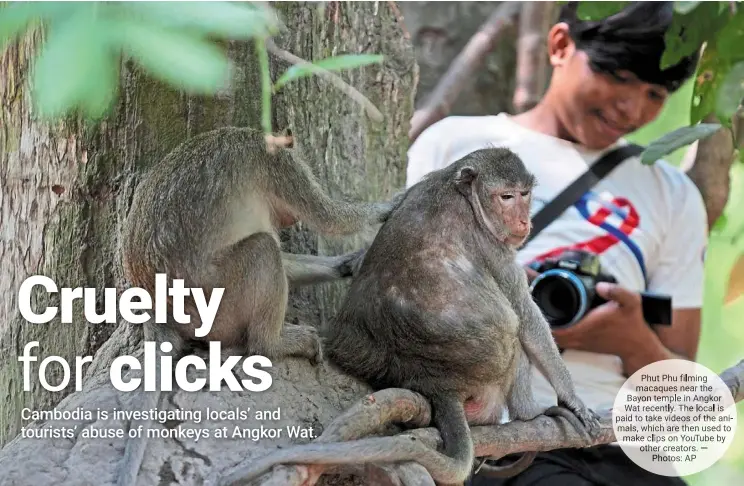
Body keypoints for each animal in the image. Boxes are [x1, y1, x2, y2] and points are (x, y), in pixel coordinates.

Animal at [116, 126, 404, 486]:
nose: (289, 220)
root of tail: (156, 311)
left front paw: (346, 264)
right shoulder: (280, 166)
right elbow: (329, 219)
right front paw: (388, 207)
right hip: (216, 302)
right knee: (263, 249)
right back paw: (273, 343)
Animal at [218, 145, 600, 486]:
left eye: (524, 194)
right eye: (506, 197)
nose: (523, 220)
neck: (460, 191)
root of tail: (436, 382)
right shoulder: (494, 246)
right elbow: (527, 319)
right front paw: (573, 399)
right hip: (488, 382)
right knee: (513, 329)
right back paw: (528, 413)